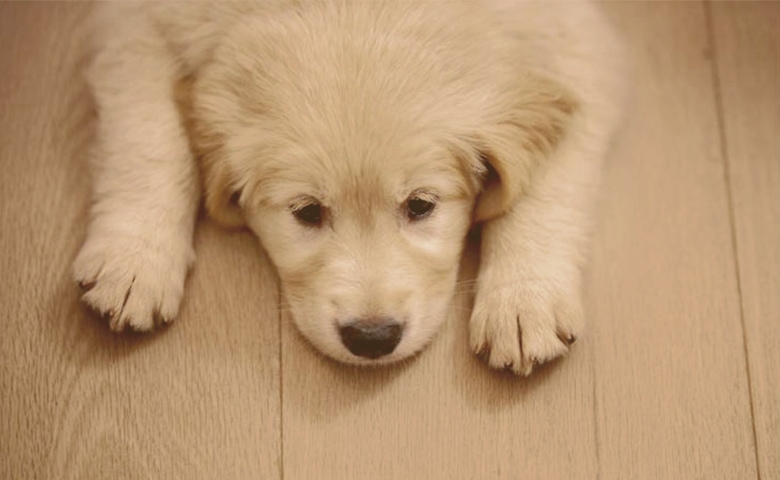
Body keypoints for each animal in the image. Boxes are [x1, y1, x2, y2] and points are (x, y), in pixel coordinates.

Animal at [74, 0, 628, 376]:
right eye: (307, 212)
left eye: (421, 205)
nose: (372, 338)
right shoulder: (134, 23)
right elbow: (147, 132)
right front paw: (133, 260)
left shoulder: (578, 41)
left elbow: (549, 182)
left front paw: (523, 301)